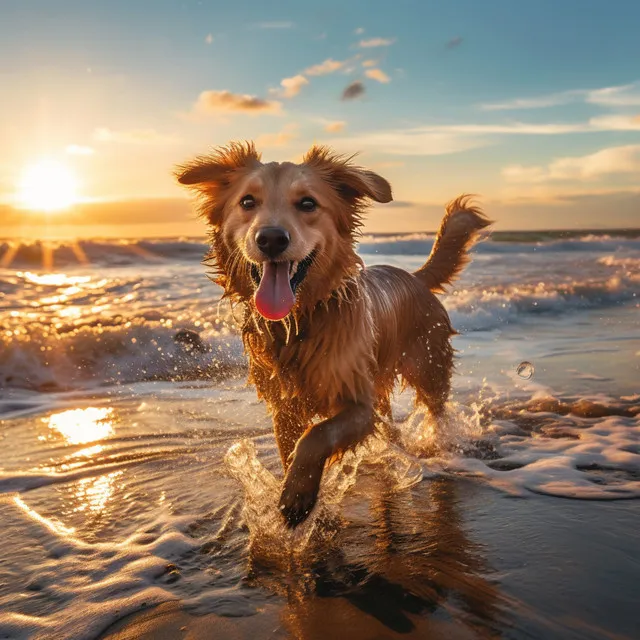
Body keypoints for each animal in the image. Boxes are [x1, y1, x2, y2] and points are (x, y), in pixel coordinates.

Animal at [175, 142, 490, 528]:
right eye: (247, 201)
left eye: (308, 203)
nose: (271, 238)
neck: (300, 321)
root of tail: (414, 277)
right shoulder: (284, 407)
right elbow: (293, 445)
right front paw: (296, 490)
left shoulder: (358, 404)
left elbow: (317, 435)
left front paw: (298, 497)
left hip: (429, 367)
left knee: (436, 411)